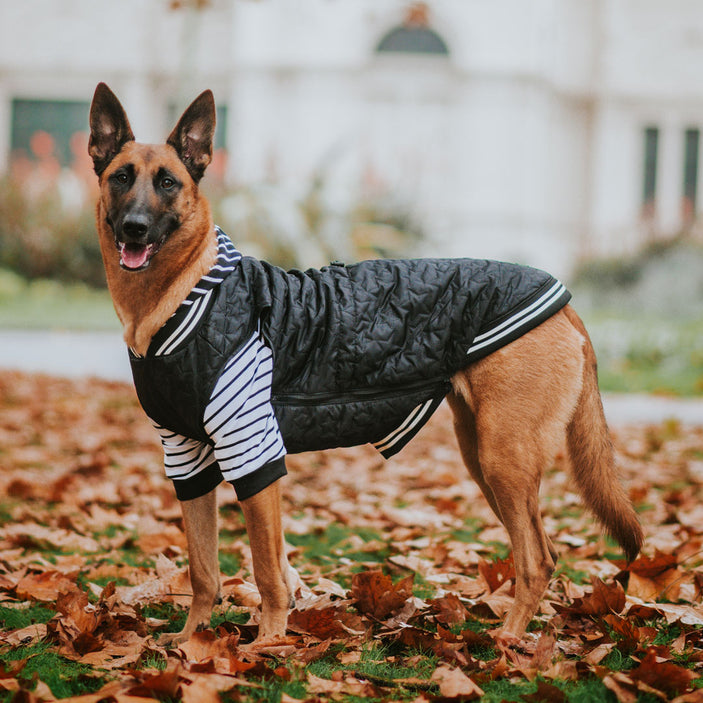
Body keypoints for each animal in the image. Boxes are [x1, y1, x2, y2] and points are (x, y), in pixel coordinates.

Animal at [86, 84, 644, 648]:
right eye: (121, 177)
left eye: (168, 182)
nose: (134, 229)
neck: (188, 295)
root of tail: (563, 301)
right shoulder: (187, 459)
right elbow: (205, 569)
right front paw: (192, 641)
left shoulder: (253, 454)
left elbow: (267, 568)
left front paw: (268, 644)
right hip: (483, 458)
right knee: (541, 551)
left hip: (504, 458)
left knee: (535, 560)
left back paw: (507, 642)